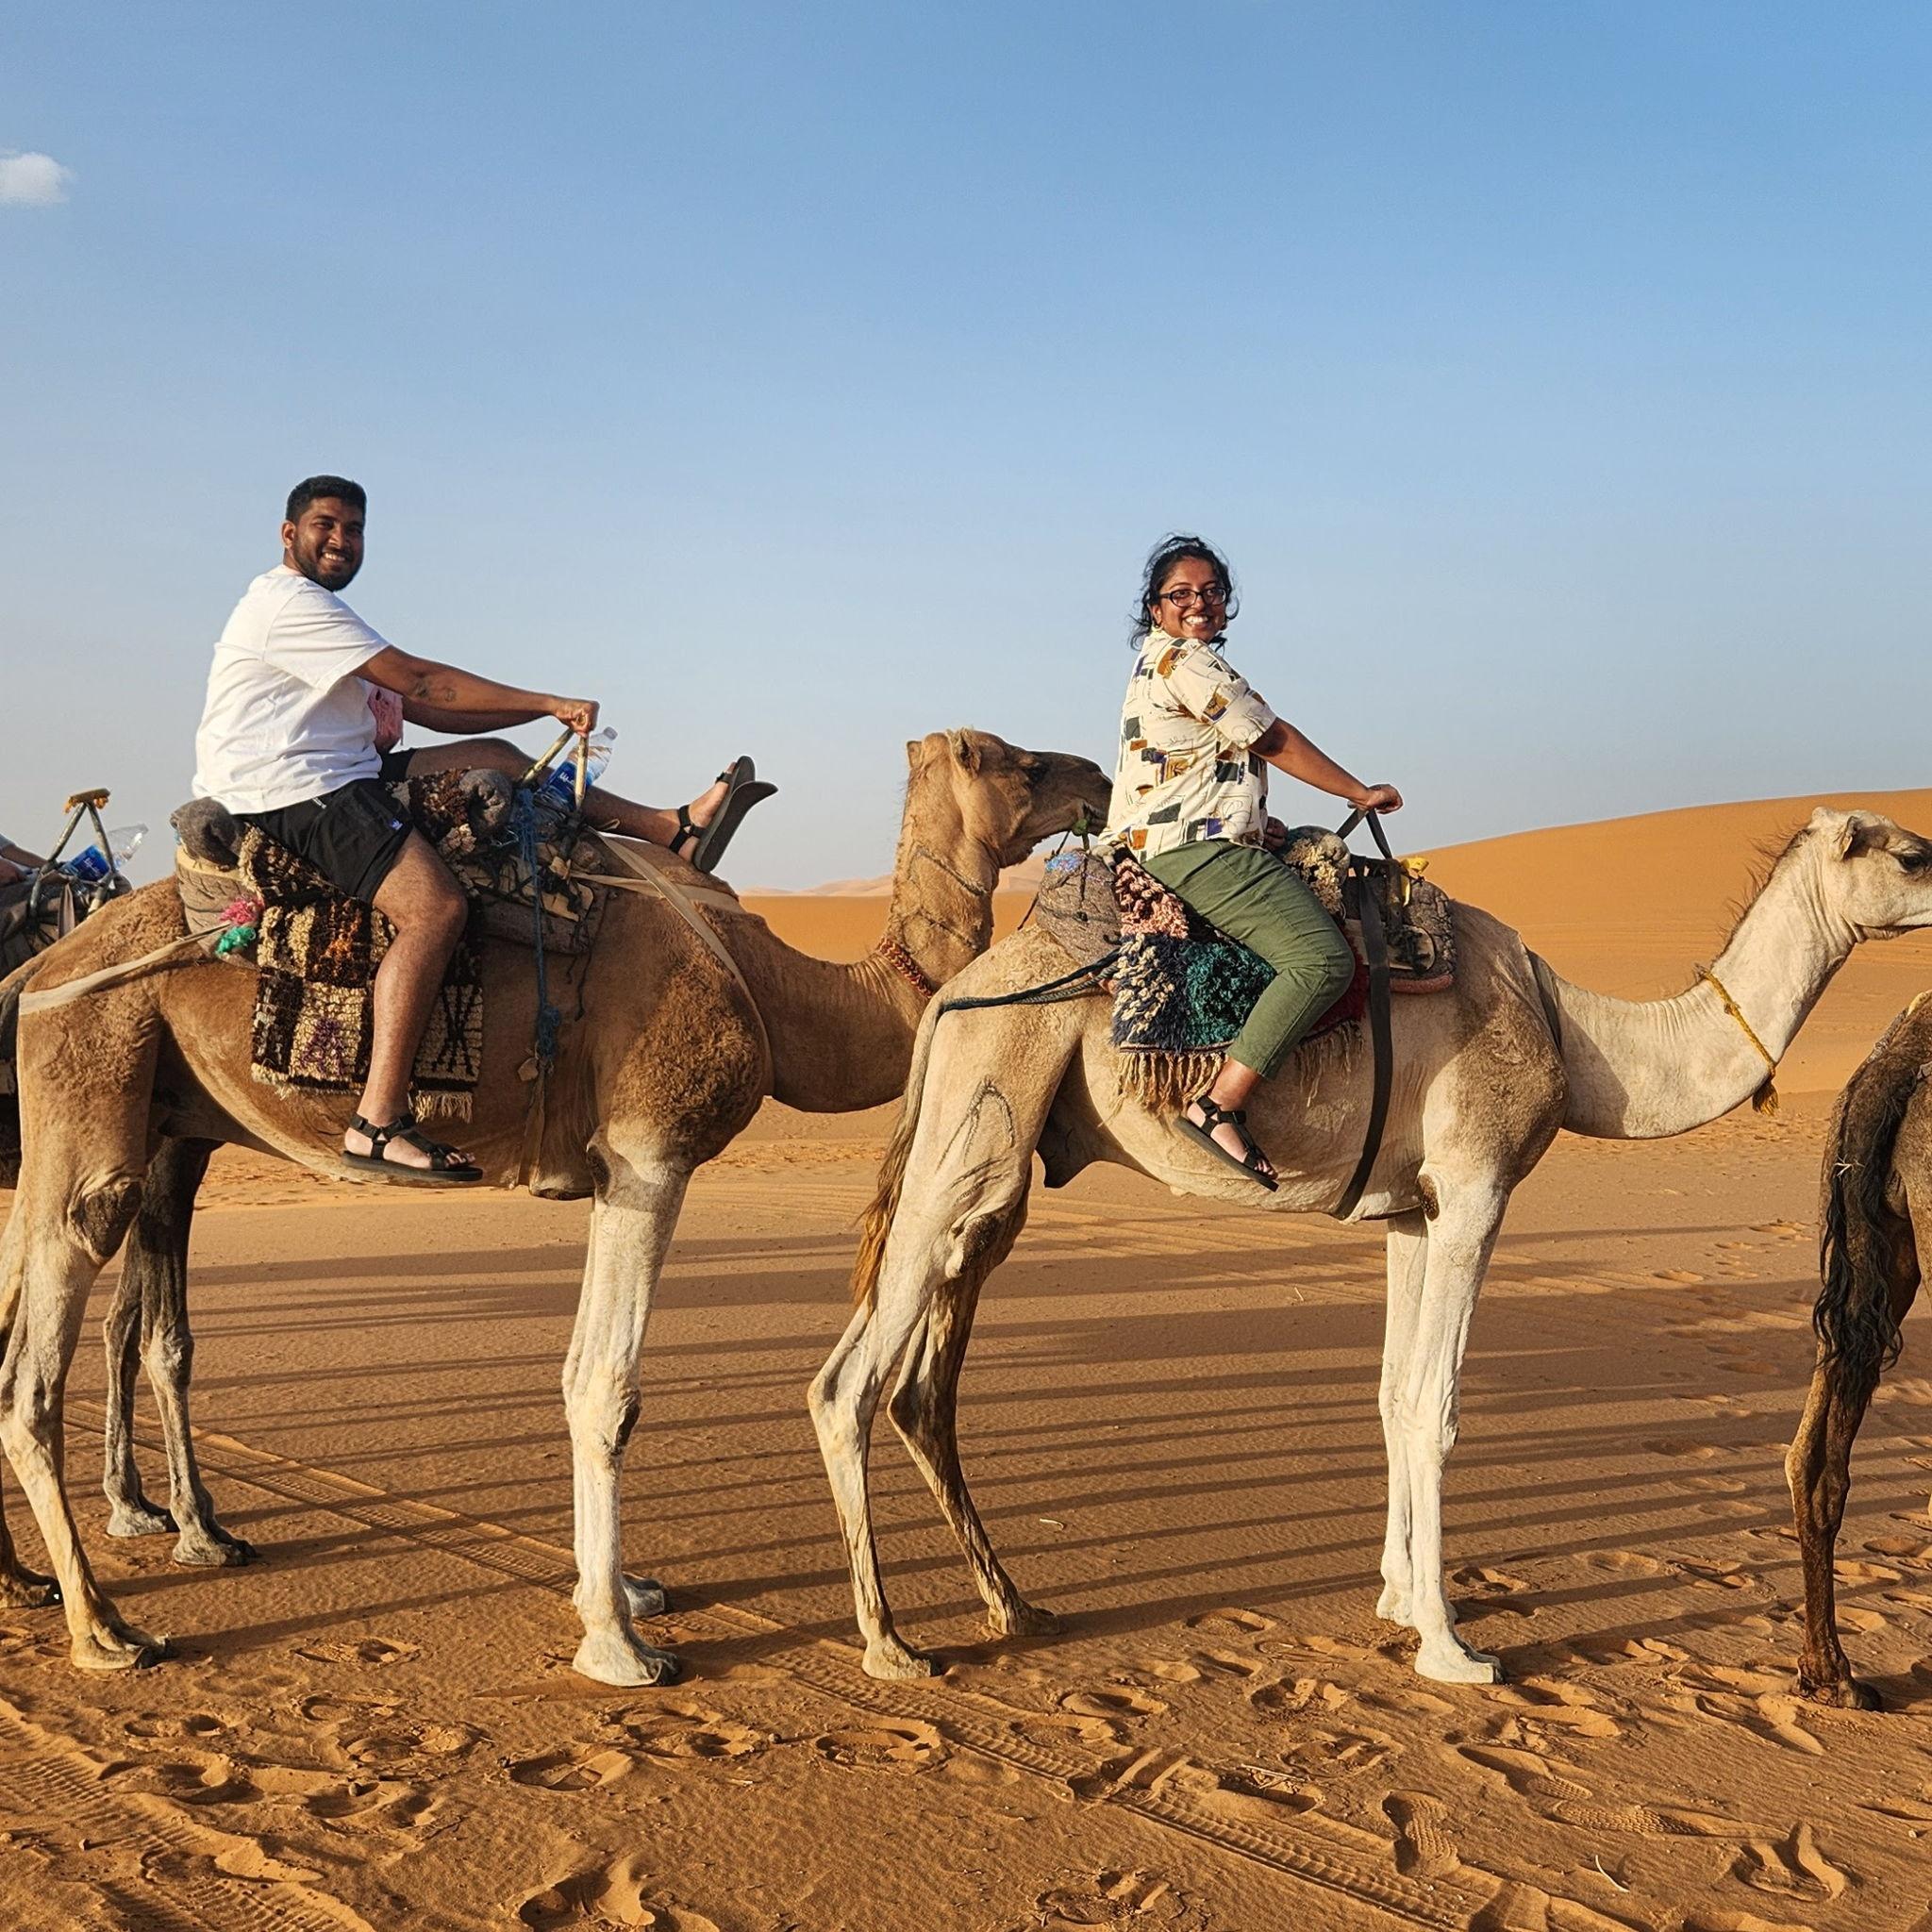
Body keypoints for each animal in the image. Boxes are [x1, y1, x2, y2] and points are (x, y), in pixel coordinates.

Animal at [0, 728, 1109, 1684]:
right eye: (1015, 760)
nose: (1098, 777)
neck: (774, 982)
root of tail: (45, 965)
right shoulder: (653, 1151)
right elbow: (606, 1388)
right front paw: (618, 1644)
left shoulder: (614, 1172)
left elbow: (583, 1372)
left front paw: (619, 1591)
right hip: (98, 1074)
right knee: (43, 1342)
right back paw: (103, 1626)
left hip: (144, 1111)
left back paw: (80, 1571)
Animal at [810, 807, 1932, 1686]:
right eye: (1914, 854)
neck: (1582, 1044)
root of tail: (951, 994)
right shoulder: (1477, 1186)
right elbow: (1435, 1408)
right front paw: (1450, 1646)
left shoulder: (1412, 1209)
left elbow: (1392, 1396)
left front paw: (1401, 1598)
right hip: (986, 1113)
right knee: (847, 1384)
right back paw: (891, 1643)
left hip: (987, 1157)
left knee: (910, 1371)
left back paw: (1014, 1607)